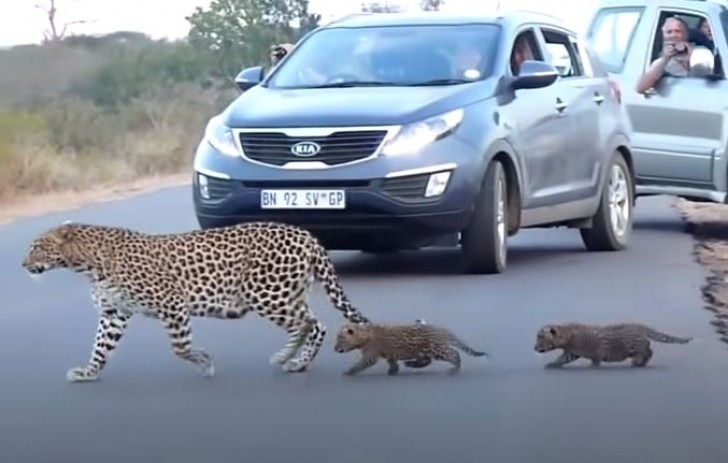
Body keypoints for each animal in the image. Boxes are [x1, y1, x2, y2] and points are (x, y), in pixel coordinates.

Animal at [19, 220, 372, 380]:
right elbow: (100, 346)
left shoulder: (172, 304)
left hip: (266, 294)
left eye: (37, 247)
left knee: (310, 324)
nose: (23, 265)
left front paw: (204, 361)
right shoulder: (113, 313)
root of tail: (306, 234)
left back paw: (289, 359)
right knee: (314, 323)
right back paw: (297, 360)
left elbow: (180, 346)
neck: (87, 264)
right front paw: (89, 372)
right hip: (286, 293)